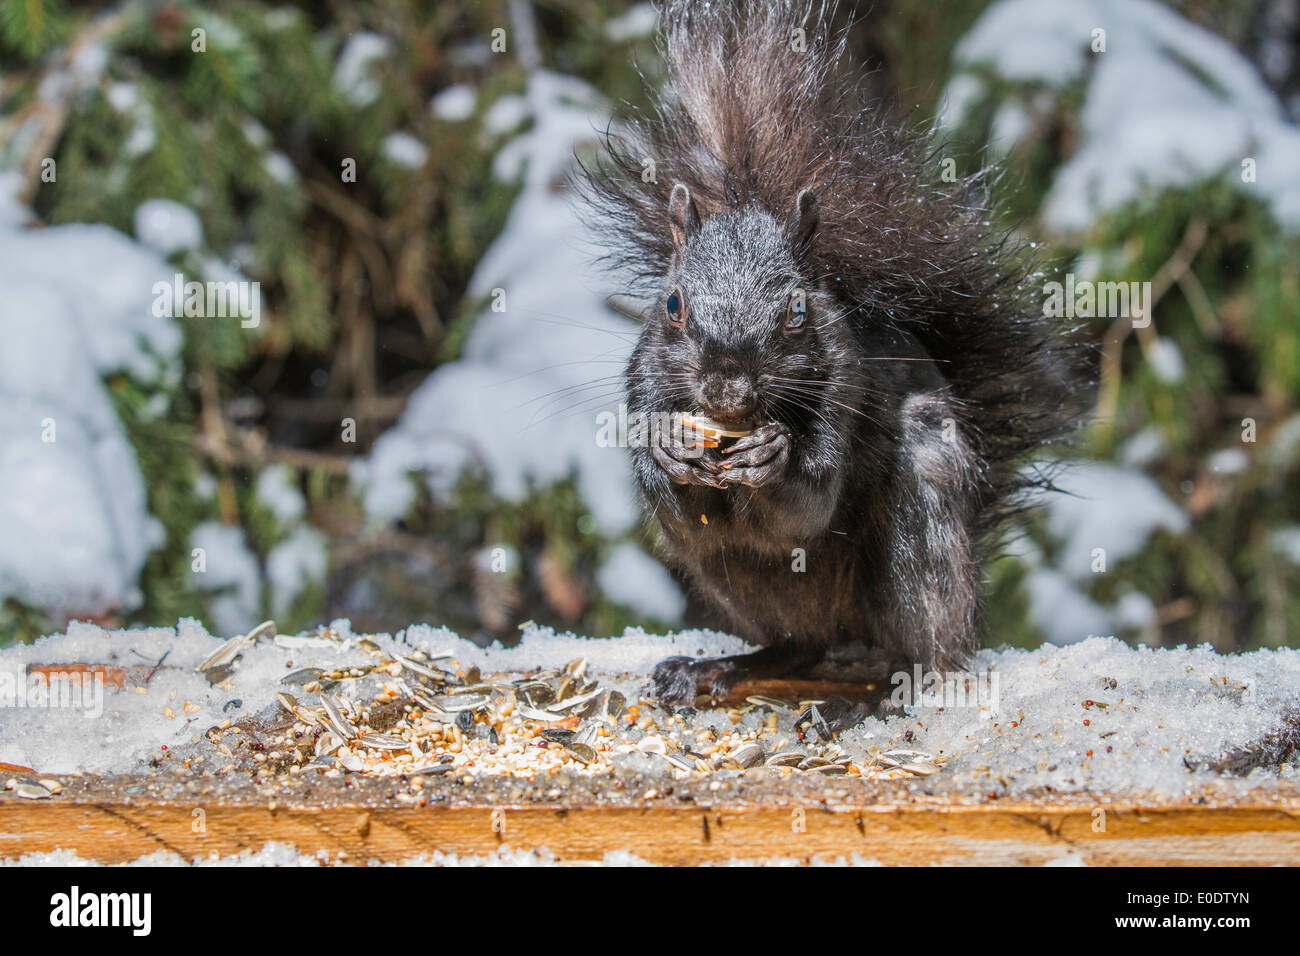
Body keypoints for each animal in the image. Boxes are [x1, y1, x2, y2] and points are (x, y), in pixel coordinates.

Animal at [579, 0, 1086, 723]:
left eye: (798, 311)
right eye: (672, 303)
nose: (727, 389)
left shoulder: (846, 390)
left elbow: (808, 505)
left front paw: (774, 458)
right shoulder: (643, 386)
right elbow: (684, 513)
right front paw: (670, 452)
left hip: (924, 529)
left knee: (924, 656)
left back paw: (869, 702)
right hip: (739, 587)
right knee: (802, 645)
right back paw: (717, 669)